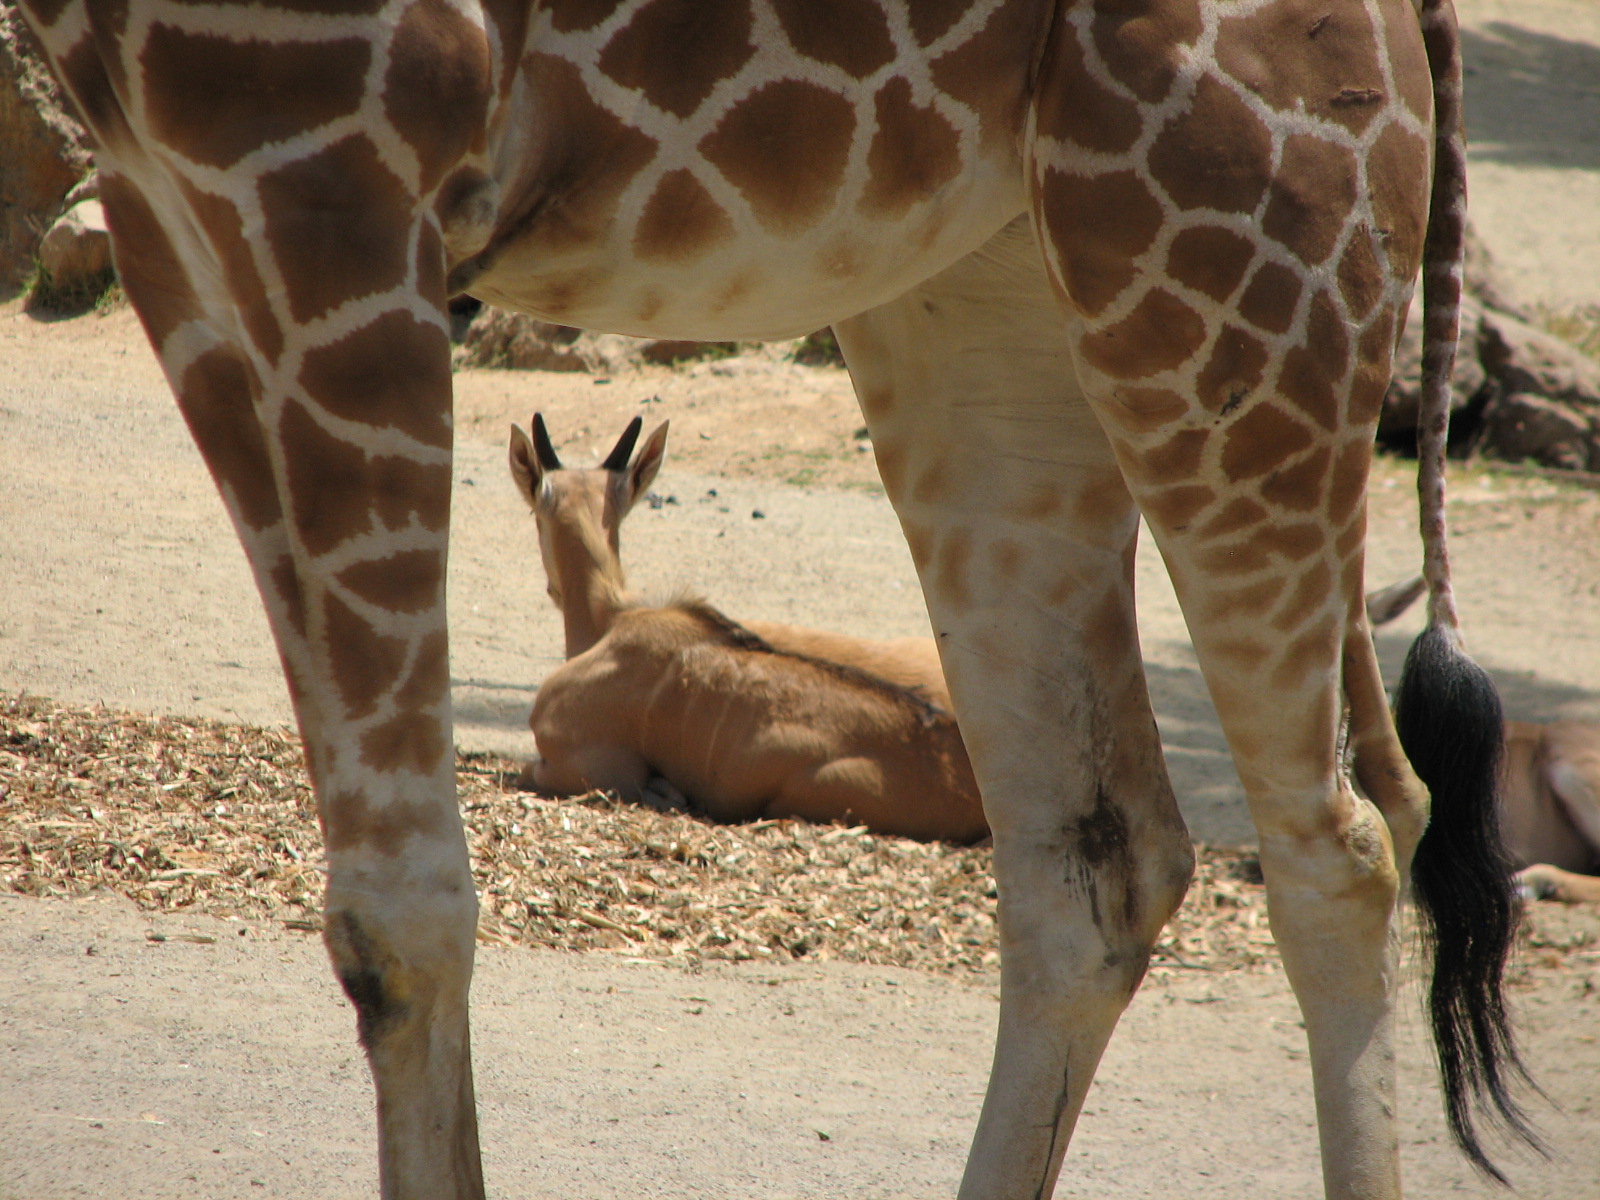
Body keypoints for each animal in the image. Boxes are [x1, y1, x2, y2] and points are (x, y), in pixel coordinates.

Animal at [15, 0, 1535, 1196]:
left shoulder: (318, 160)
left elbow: (400, 914)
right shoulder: (166, 203)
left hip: (1238, 261)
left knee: (1341, 846)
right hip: (987, 280)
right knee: (1102, 863)